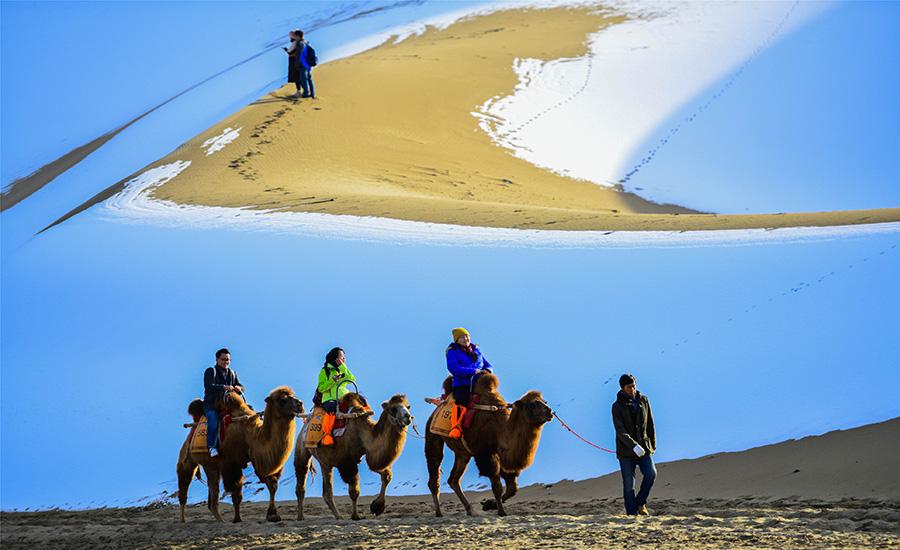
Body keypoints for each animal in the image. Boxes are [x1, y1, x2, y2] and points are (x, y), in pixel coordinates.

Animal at [178, 386, 304, 524]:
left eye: (294, 395)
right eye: (282, 400)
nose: (300, 404)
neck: (250, 436)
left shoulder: (257, 460)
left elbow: (272, 485)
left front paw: (273, 515)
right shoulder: (231, 464)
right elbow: (236, 494)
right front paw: (237, 519)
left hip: (211, 466)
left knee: (212, 494)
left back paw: (220, 520)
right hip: (187, 460)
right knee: (184, 484)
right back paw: (183, 520)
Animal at [298, 392, 414, 520]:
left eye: (408, 406)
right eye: (393, 408)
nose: (408, 417)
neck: (362, 431)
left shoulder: (368, 455)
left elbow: (386, 474)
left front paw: (377, 507)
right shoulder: (348, 462)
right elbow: (354, 491)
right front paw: (355, 515)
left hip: (325, 462)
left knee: (325, 490)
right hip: (303, 448)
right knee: (304, 480)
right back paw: (305, 516)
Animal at [426, 376, 552, 516]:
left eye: (545, 401)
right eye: (533, 404)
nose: (549, 411)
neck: (500, 429)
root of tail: (437, 407)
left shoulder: (501, 455)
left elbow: (512, 488)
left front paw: (489, 504)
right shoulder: (486, 454)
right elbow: (497, 486)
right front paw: (501, 512)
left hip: (462, 453)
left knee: (453, 479)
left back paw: (470, 510)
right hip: (432, 435)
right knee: (434, 467)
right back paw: (439, 512)